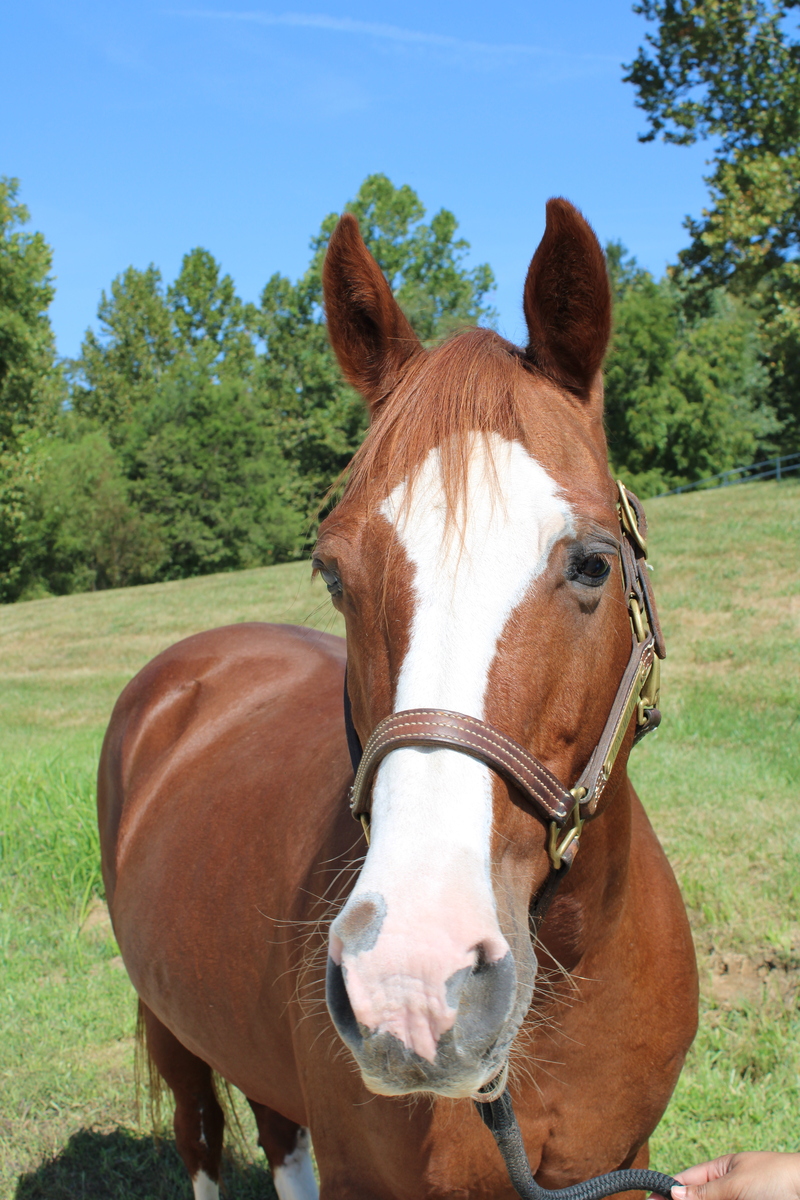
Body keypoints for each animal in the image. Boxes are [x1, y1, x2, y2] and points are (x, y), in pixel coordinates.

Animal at [98, 198, 698, 1200]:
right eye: (335, 574)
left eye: (591, 563)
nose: (413, 982)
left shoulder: (625, 1160)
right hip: (175, 1031)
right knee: (202, 1137)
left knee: (279, 1135)